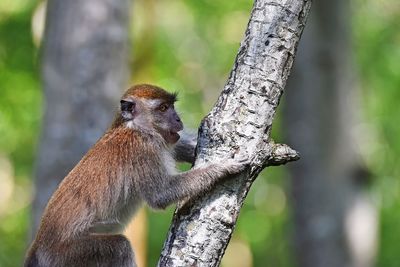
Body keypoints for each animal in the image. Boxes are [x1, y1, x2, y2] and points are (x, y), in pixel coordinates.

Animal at [25, 84, 248, 267]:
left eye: (171, 106)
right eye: (162, 108)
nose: (178, 119)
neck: (135, 127)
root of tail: (38, 247)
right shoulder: (141, 149)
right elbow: (161, 195)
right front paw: (222, 167)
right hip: (68, 255)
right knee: (120, 247)